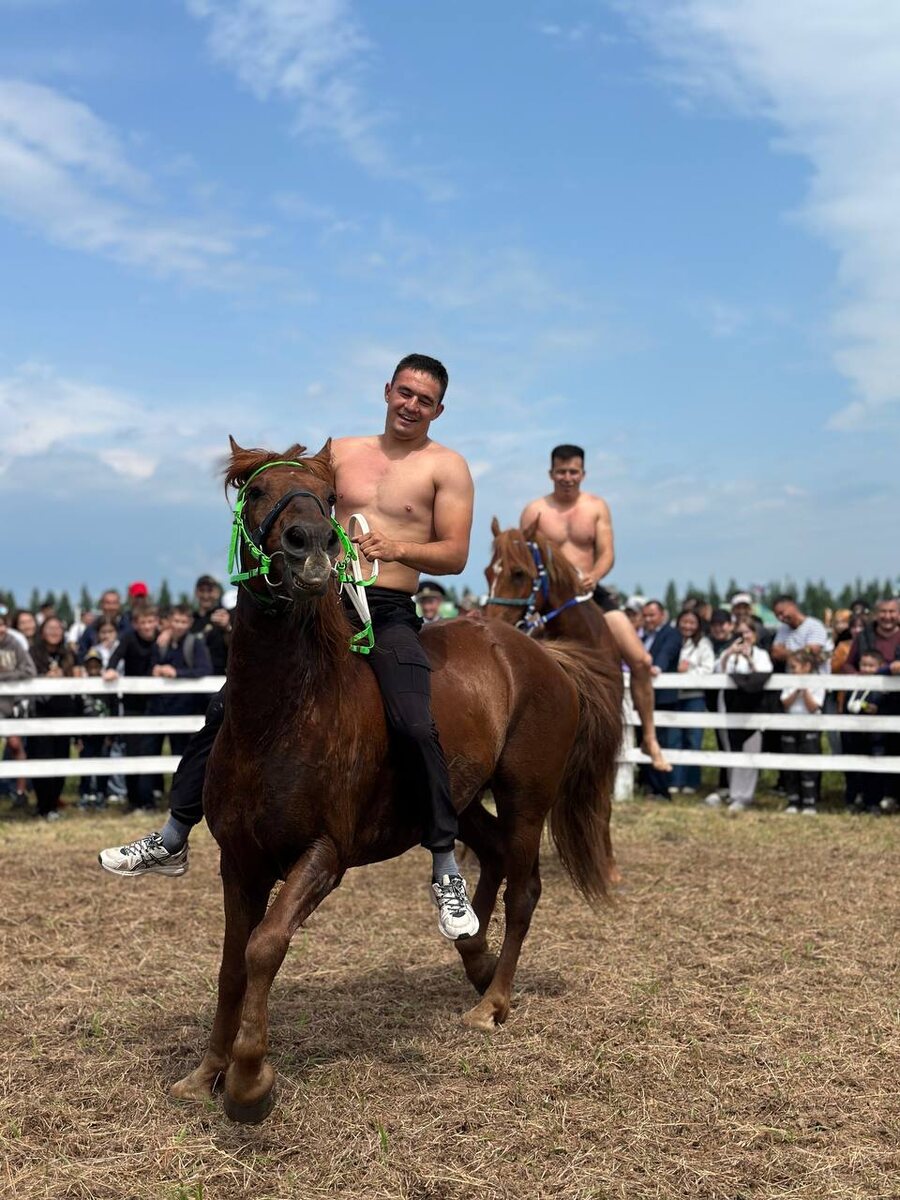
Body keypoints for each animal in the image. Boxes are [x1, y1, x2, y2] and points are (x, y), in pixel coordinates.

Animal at [171, 439, 623, 1124]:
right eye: (255, 492)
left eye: (329, 498)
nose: (311, 546)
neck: (285, 714)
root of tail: (541, 654)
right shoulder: (239, 861)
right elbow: (230, 964)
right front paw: (206, 1073)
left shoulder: (324, 856)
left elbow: (264, 948)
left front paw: (249, 1081)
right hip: (459, 798)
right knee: (487, 857)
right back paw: (473, 947)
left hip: (526, 796)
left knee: (524, 890)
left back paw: (492, 1001)